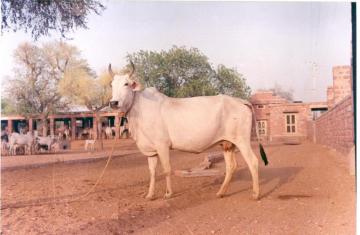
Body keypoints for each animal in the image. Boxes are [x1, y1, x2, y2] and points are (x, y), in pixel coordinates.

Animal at [107, 63, 268, 200]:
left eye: (126, 84)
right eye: (112, 85)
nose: (113, 102)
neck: (139, 110)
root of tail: (240, 101)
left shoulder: (162, 145)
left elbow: (166, 169)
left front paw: (168, 193)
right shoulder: (150, 150)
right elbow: (152, 172)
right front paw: (150, 195)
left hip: (242, 140)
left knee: (253, 162)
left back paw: (255, 194)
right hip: (227, 143)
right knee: (231, 166)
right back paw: (221, 192)